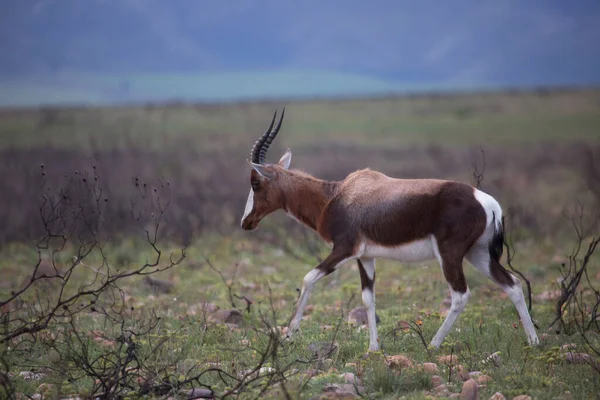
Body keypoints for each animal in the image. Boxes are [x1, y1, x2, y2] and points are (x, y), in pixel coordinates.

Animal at [239, 108, 540, 350]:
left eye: (255, 182)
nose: (246, 222)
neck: (337, 196)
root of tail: (488, 203)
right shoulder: (365, 256)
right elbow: (368, 298)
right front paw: (373, 348)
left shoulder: (343, 250)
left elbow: (308, 278)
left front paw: (290, 335)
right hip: (478, 254)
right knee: (512, 285)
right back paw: (534, 341)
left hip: (450, 255)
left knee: (460, 295)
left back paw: (433, 344)